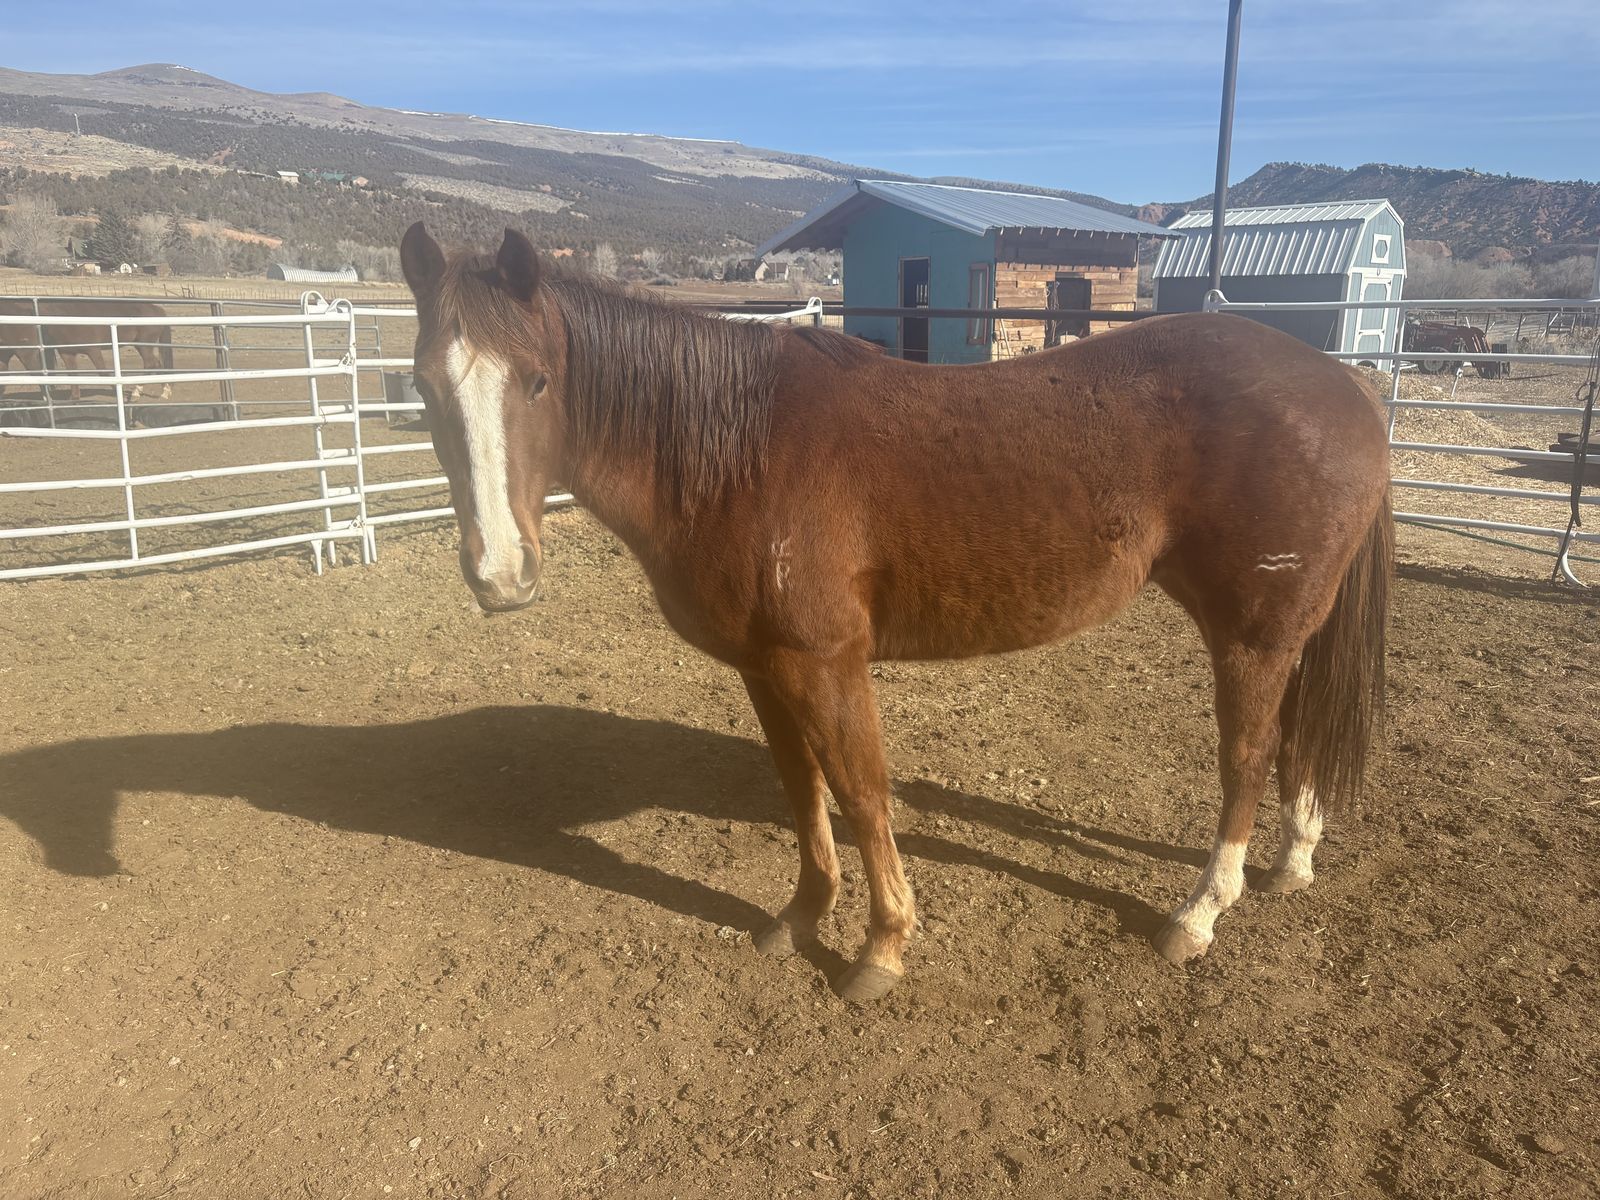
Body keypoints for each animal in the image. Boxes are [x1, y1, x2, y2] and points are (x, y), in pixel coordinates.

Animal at [0, 299, 174, 409]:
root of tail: (159, 310)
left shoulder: (93, 350)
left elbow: (103, 374)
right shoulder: (67, 353)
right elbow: (73, 375)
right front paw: (74, 400)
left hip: (144, 345)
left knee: (150, 364)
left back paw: (137, 393)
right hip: (142, 345)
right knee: (156, 364)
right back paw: (165, 392)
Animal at [398, 223, 1393, 1002]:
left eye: (536, 381)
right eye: (424, 387)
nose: (500, 574)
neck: (737, 453)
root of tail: (1347, 384)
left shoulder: (826, 660)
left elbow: (863, 794)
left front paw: (881, 948)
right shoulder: (765, 668)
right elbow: (803, 793)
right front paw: (802, 916)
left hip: (1251, 634)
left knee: (1246, 758)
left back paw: (1199, 913)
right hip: (1283, 631)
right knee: (1295, 735)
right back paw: (1294, 860)